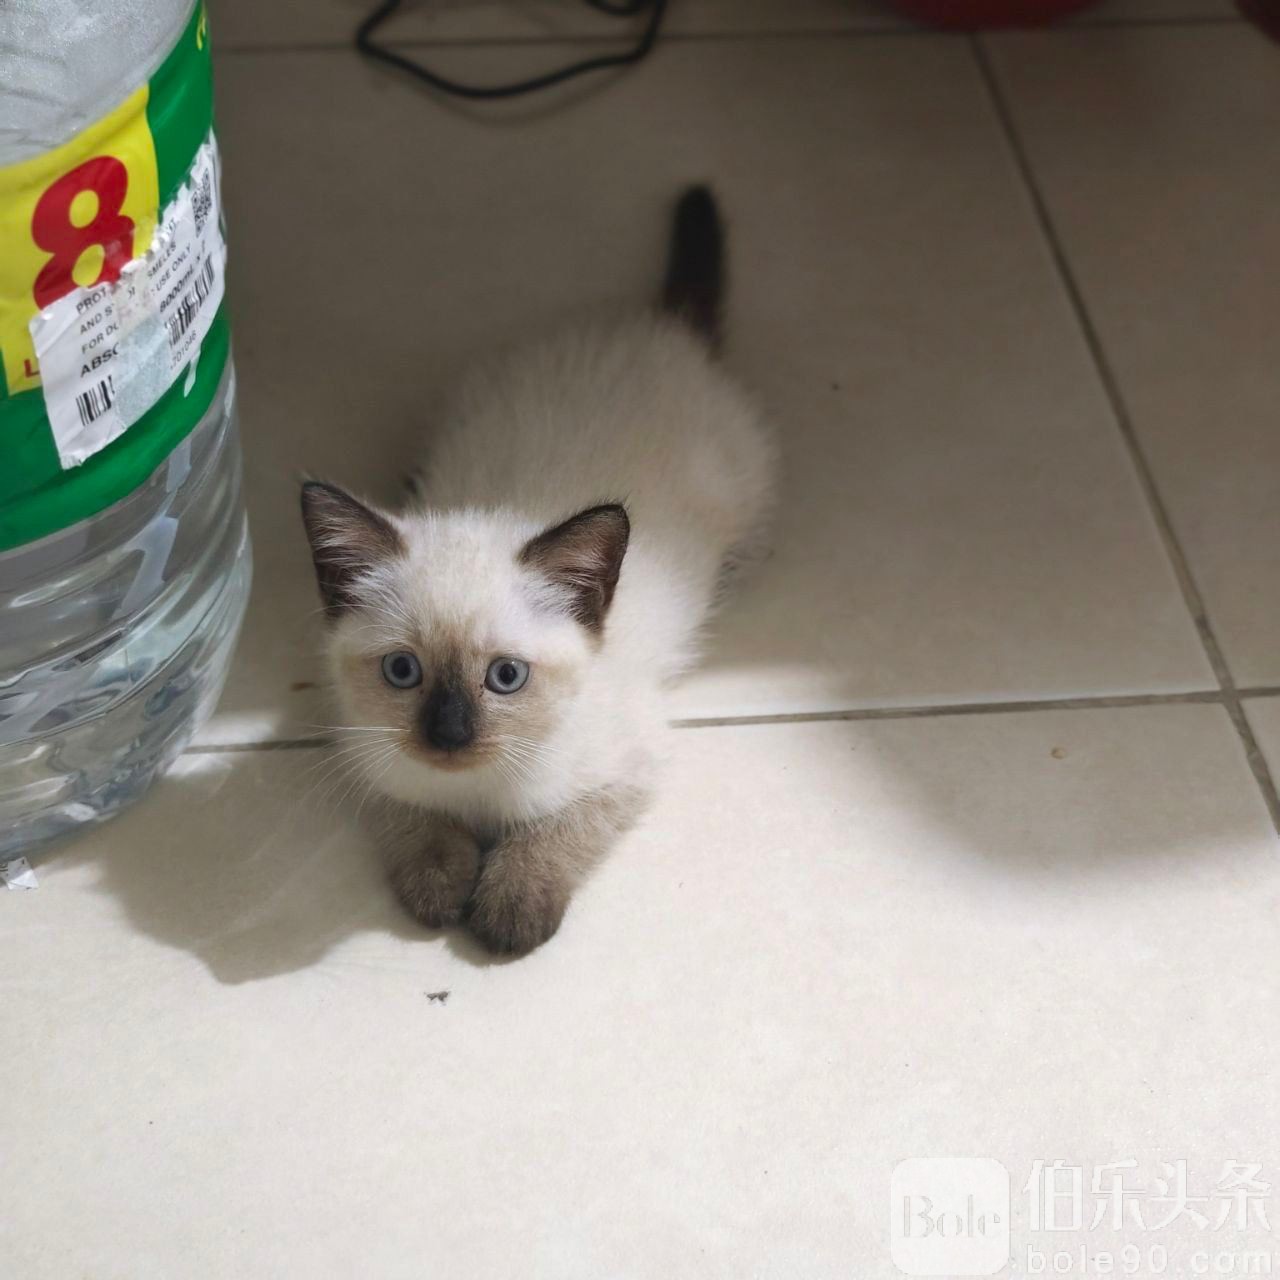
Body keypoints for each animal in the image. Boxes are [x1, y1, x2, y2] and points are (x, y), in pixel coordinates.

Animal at [299, 186, 773, 952]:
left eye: (506, 677)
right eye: (402, 671)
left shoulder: (626, 769)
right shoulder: (368, 752)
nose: (449, 736)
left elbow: (553, 835)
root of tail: (658, 331)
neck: (479, 792)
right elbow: (416, 821)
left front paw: (508, 910)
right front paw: (440, 886)